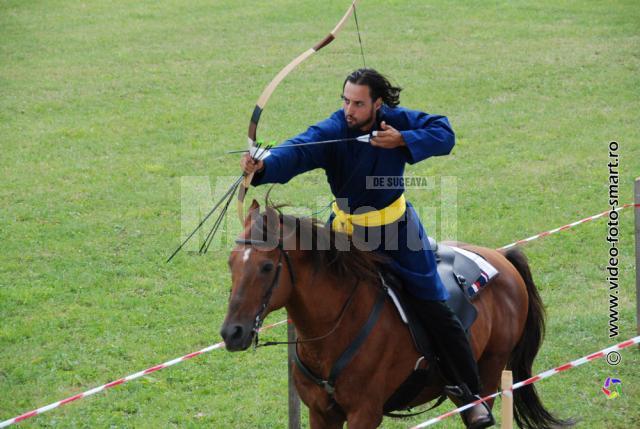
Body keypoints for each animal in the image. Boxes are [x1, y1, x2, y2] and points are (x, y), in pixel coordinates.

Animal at [220, 201, 568, 428]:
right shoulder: (321, 413)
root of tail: (501, 258)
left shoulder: (364, 413)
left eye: (266, 267)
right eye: (231, 262)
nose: (231, 332)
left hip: (491, 369)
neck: (337, 328)